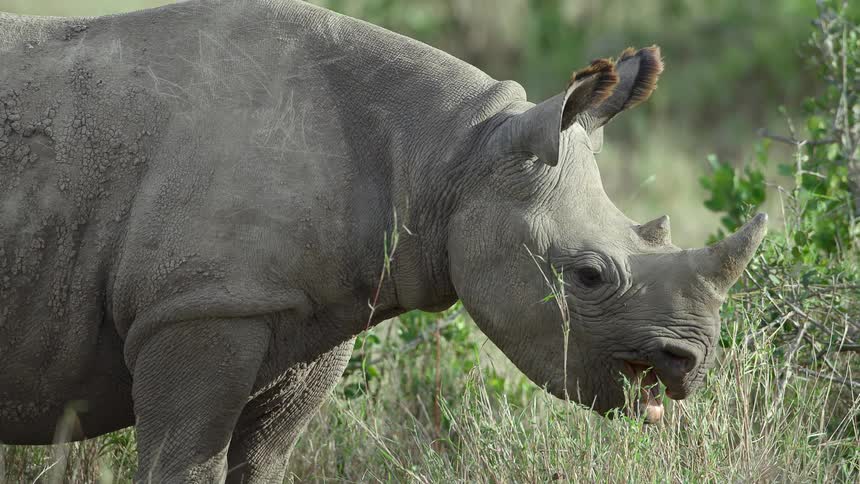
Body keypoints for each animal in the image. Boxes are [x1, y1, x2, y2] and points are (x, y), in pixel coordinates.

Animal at [0, 0, 767, 482]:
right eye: (588, 275)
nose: (689, 363)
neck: (453, 154)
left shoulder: (302, 311)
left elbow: (261, 461)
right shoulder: (199, 304)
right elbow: (182, 462)